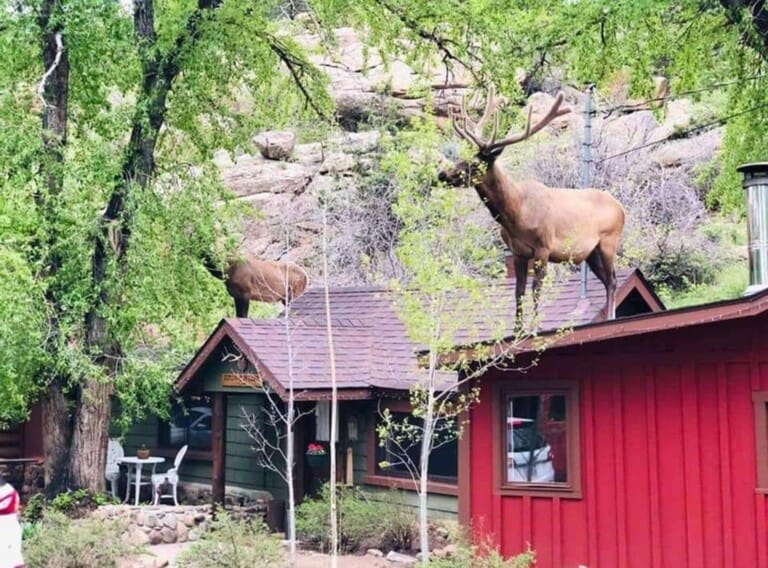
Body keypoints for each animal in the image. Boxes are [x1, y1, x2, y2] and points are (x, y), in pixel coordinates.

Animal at [438, 87, 625, 321]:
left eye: (474, 164)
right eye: (462, 158)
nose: (443, 174)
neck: (516, 214)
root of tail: (621, 209)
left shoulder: (544, 247)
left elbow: (537, 290)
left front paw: (535, 326)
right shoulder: (518, 252)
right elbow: (519, 293)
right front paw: (518, 327)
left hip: (609, 241)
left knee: (612, 280)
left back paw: (611, 317)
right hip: (591, 252)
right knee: (608, 280)